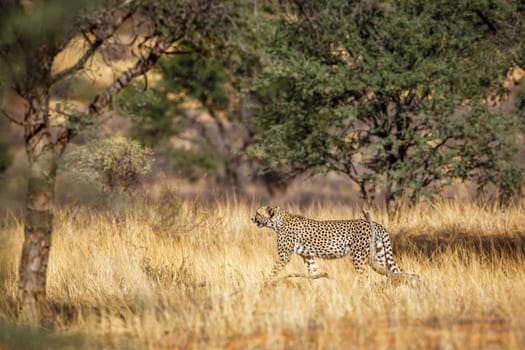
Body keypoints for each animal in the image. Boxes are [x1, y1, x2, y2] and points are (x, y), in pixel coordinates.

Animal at [250, 205, 402, 278]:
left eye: (257, 213)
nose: (251, 218)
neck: (278, 222)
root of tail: (377, 224)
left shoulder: (284, 256)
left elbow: (273, 271)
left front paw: (265, 284)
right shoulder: (308, 256)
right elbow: (313, 272)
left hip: (358, 257)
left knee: (364, 276)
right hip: (380, 255)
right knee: (396, 271)